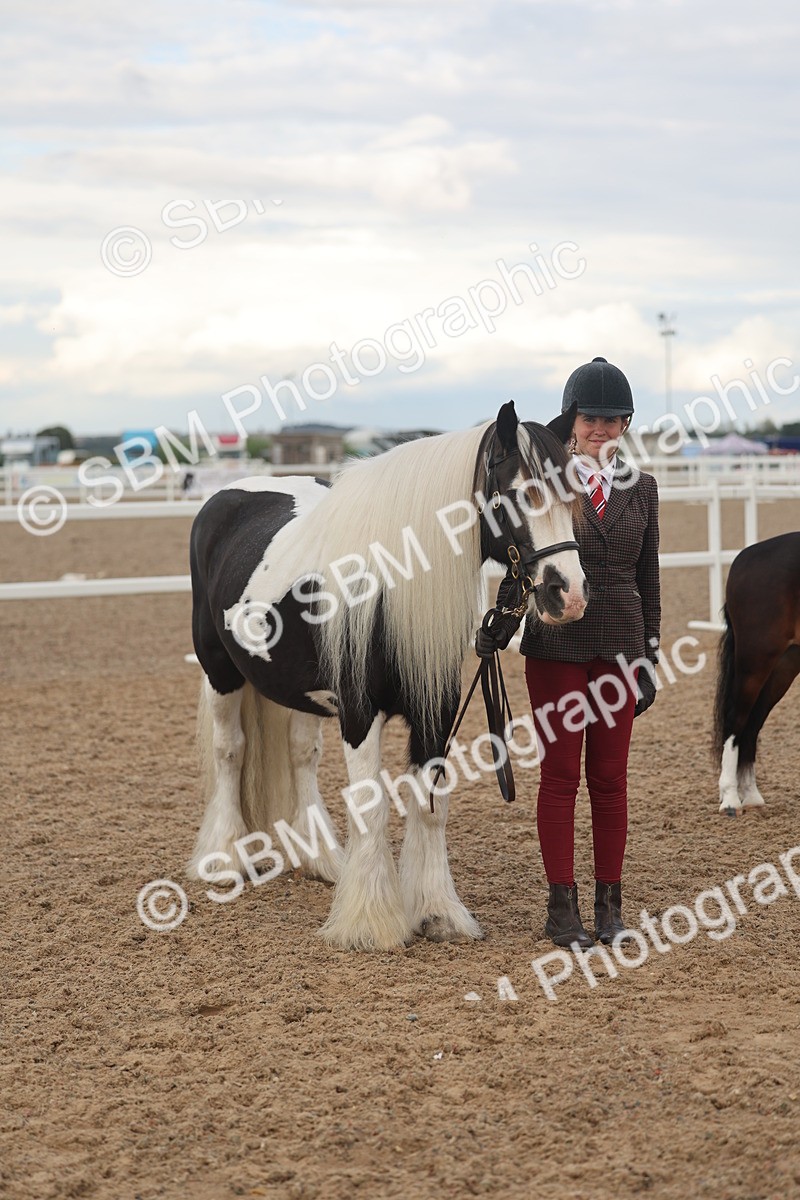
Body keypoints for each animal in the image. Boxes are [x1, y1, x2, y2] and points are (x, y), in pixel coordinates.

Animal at [186, 400, 587, 950]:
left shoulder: (434, 708)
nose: (568, 594)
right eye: (517, 493)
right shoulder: (359, 711)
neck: (386, 590)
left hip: (299, 692)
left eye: (573, 495)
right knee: (230, 751)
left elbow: (432, 804)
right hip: (219, 671)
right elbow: (370, 806)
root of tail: (224, 498)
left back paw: (322, 860)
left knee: (300, 756)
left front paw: (437, 911)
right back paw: (225, 858)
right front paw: (371, 922)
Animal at [714, 531, 800, 814]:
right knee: (736, 719)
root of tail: (744, 559)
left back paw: (750, 795)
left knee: (752, 724)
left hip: (784, 664)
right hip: (755, 659)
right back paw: (730, 799)